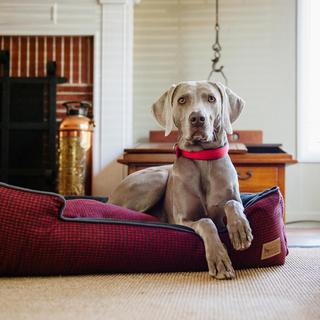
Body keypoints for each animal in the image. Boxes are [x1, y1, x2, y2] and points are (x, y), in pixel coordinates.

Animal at [110, 81, 252, 278]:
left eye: (211, 98)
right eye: (182, 100)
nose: (197, 118)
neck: (202, 159)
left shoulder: (234, 200)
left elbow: (232, 203)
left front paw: (239, 230)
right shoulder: (183, 220)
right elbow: (207, 222)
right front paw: (220, 259)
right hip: (158, 178)